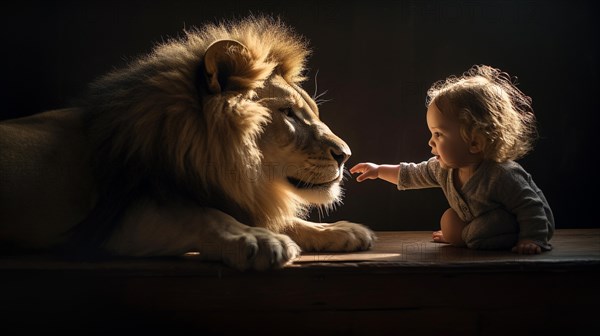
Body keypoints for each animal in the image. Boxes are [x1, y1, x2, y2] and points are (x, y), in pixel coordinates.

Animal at [0, 15, 376, 270]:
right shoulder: (101, 223)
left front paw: (339, 230)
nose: (345, 155)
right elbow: (200, 215)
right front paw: (256, 239)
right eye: (288, 113)